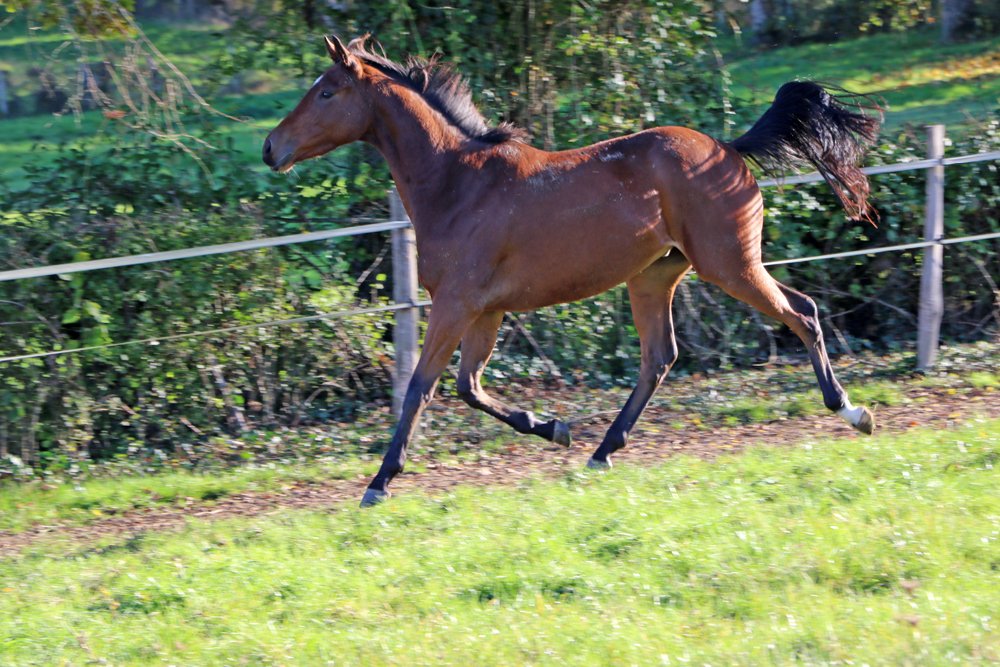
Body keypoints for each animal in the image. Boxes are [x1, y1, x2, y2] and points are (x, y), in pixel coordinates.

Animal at [264, 35, 882, 507]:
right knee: (659, 357)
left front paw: (379, 483)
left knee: (801, 313)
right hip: (653, 277)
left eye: (326, 91)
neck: (458, 183)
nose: (271, 147)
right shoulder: (485, 310)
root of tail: (728, 149)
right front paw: (554, 428)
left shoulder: (455, 304)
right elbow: (469, 387)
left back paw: (852, 412)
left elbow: (421, 387)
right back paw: (602, 451)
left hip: (730, 264)